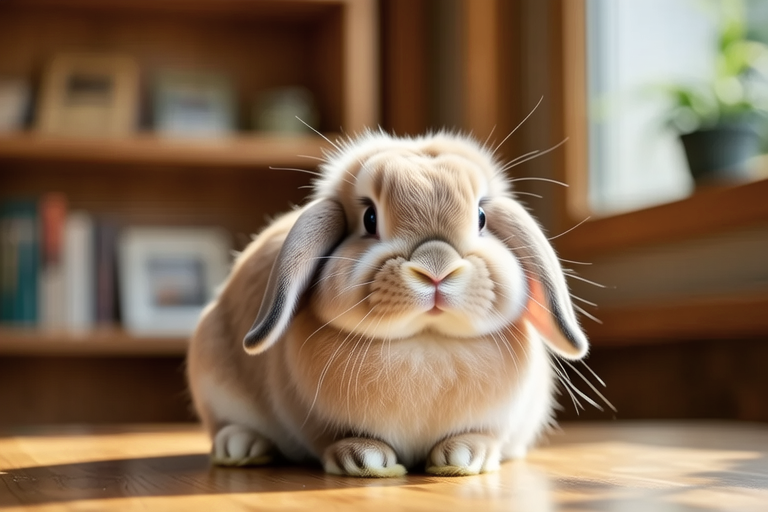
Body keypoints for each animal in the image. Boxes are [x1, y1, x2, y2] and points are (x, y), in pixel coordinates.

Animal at [186, 131, 589, 478]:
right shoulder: (317, 422)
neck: (425, 343)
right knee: (230, 424)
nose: (436, 268)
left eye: (481, 218)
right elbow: (337, 438)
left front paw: (465, 455)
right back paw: (240, 446)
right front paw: (362, 458)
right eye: (369, 218)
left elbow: (479, 436)